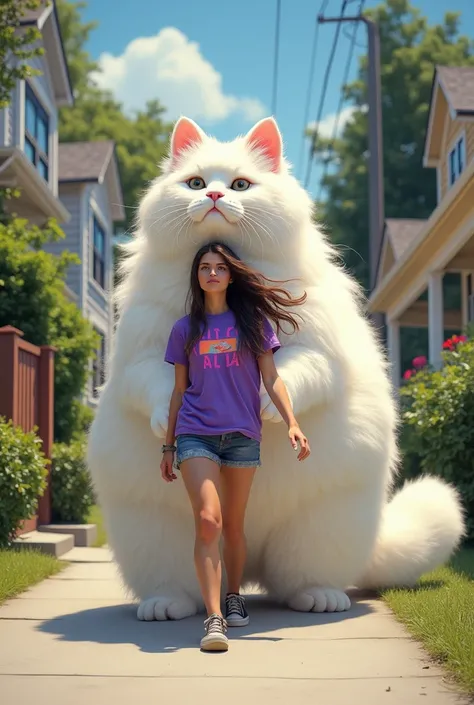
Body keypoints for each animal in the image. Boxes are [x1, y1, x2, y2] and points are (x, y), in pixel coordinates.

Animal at [87, 118, 464, 620]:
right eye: (196, 183)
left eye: (241, 185)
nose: (214, 196)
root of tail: (248, 571)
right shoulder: (141, 356)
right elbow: (154, 385)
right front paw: (166, 414)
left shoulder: (316, 350)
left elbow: (293, 374)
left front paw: (267, 407)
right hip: (159, 534)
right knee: (184, 581)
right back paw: (165, 605)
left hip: (318, 529)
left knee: (299, 581)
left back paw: (321, 599)